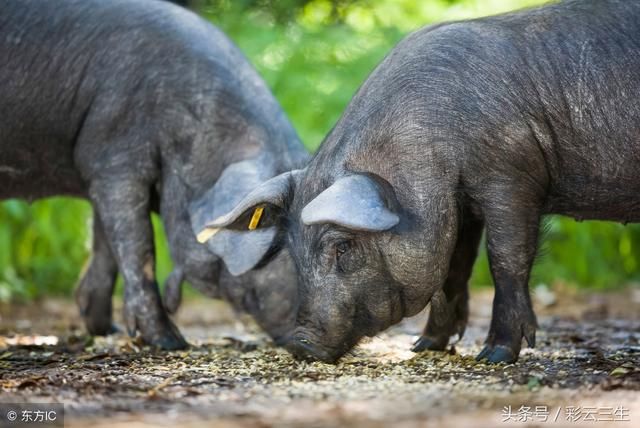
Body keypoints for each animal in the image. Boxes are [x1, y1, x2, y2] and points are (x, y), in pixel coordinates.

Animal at [0, 0, 310, 348]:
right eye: (273, 227)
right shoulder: (115, 155)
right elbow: (138, 246)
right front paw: (170, 342)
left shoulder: (99, 174)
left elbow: (105, 248)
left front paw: (107, 330)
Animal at [200, 0, 640, 362]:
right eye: (292, 252)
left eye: (343, 246)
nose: (300, 345)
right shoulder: (460, 204)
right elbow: (453, 269)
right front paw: (425, 346)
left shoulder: (511, 176)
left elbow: (505, 259)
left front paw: (494, 356)